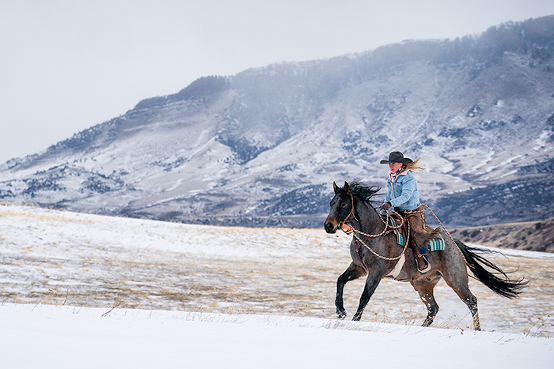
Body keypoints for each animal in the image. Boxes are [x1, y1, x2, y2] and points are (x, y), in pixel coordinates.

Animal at [324, 180, 528, 328]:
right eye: (331, 203)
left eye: (344, 203)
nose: (328, 226)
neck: (373, 233)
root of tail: (454, 244)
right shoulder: (359, 268)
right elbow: (340, 280)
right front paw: (340, 311)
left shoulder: (376, 273)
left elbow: (364, 297)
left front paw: (354, 320)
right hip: (424, 285)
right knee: (433, 308)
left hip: (456, 279)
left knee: (472, 302)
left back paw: (476, 329)